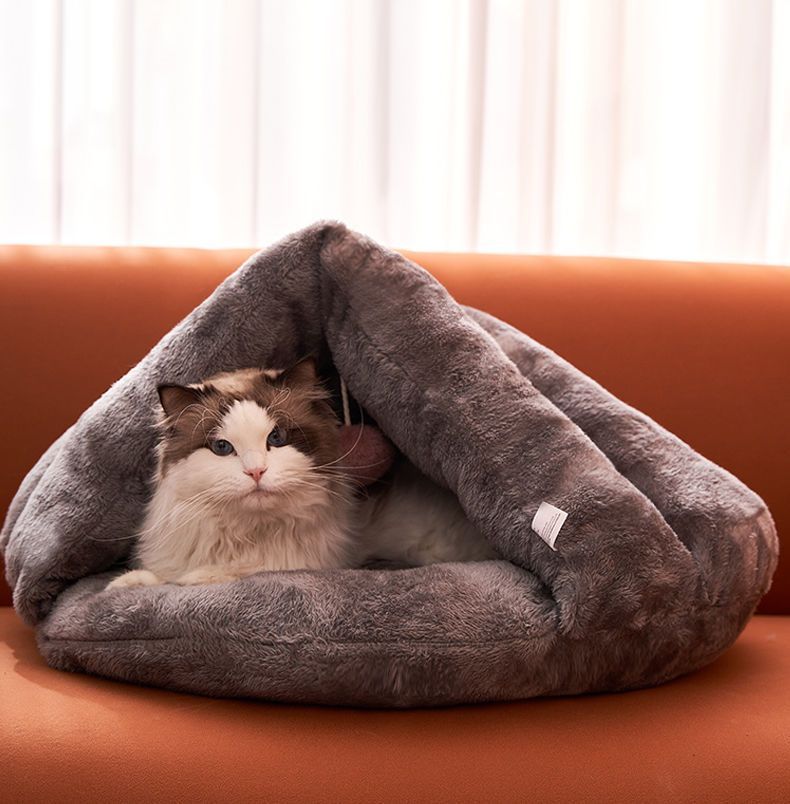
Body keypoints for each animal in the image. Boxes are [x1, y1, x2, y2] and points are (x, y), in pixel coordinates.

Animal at [106, 359, 495, 590]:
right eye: (222, 447)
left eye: (276, 439)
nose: (256, 471)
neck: (250, 537)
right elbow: (157, 578)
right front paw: (125, 585)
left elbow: (194, 581)